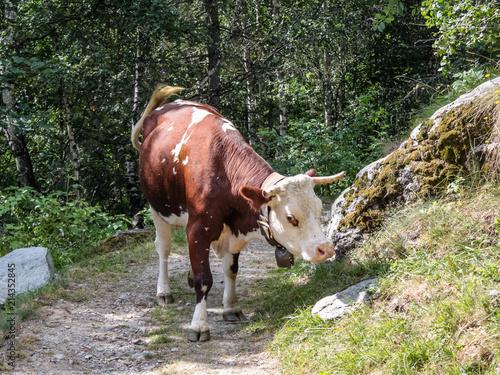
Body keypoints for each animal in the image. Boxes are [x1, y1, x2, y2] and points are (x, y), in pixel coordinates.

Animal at [131, 84, 346, 340]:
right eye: (291, 217)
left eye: (319, 208)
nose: (326, 249)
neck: (223, 169)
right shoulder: (199, 228)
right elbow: (204, 279)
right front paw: (199, 325)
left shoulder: (232, 229)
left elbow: (231, 270)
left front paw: (231, 308)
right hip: (157, 206)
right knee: (163, 247)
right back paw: (163, 291)